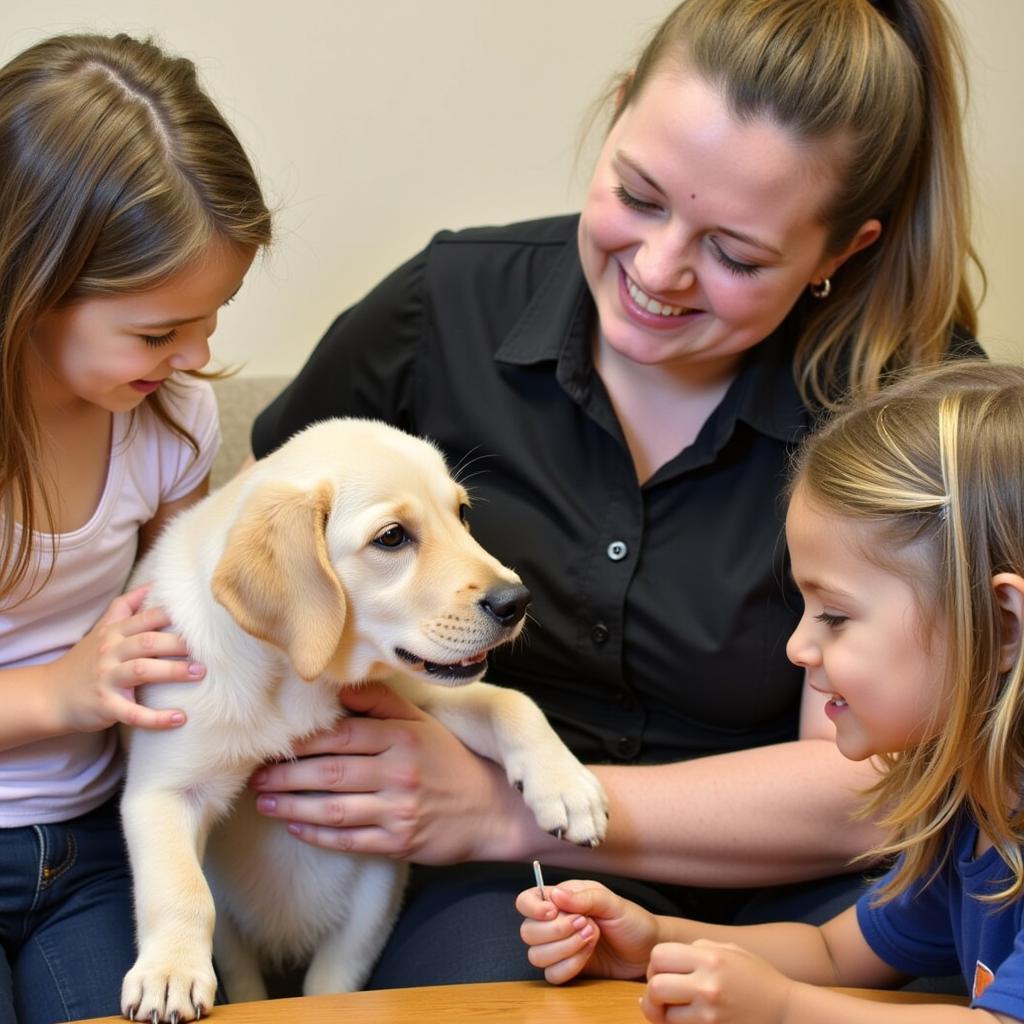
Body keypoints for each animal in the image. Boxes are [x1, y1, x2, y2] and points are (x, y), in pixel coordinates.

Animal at [117, 419, 606, 1019]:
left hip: (372, 904)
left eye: (462, 513)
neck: (295, 677)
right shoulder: (164, 789)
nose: (517, 601)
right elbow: (179, 887)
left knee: (333, 982)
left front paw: (569, 788)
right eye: (392, 537)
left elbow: (510, 701)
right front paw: (169, 973)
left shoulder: (411, 691)